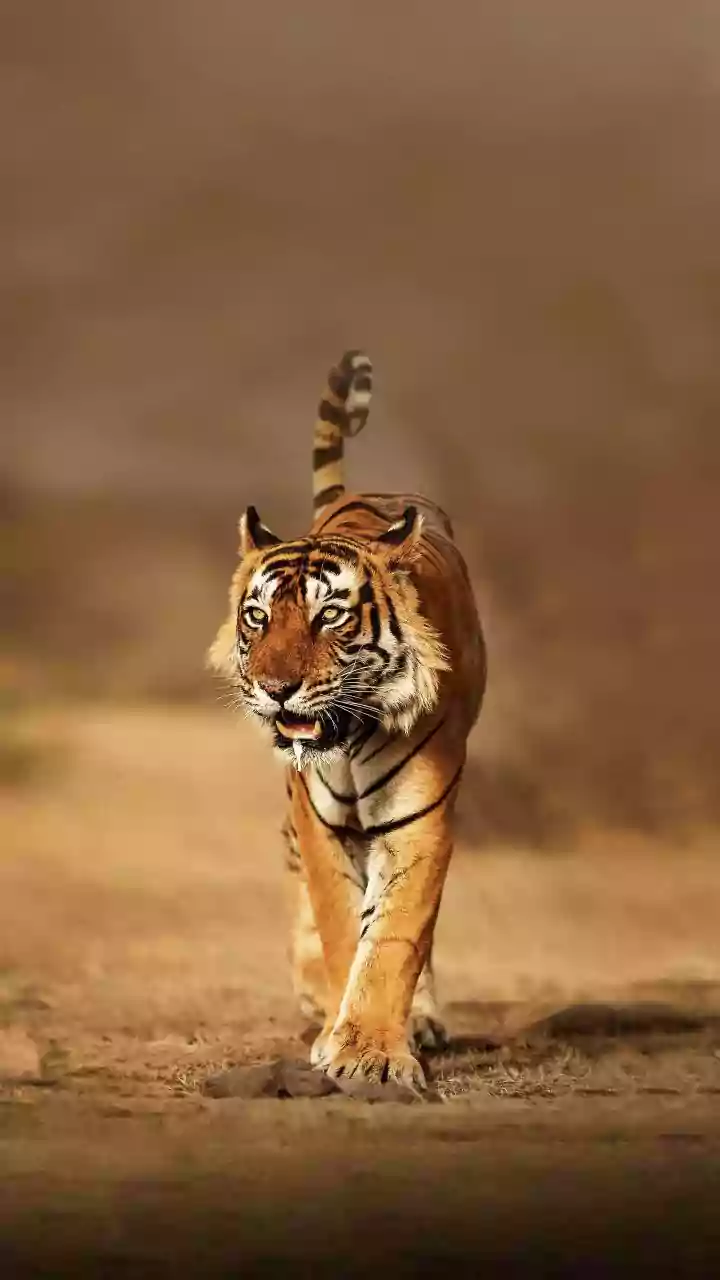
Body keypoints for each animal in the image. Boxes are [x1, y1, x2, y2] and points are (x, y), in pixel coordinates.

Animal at [209, 350, 486, 1093]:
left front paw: (370, 1051)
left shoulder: (419, 818)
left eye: (329, 616)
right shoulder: (319, 818)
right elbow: (339, 923)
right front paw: (340, 1029)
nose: (276, 689)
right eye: (258, 617)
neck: (352, 733)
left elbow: (393, 935)